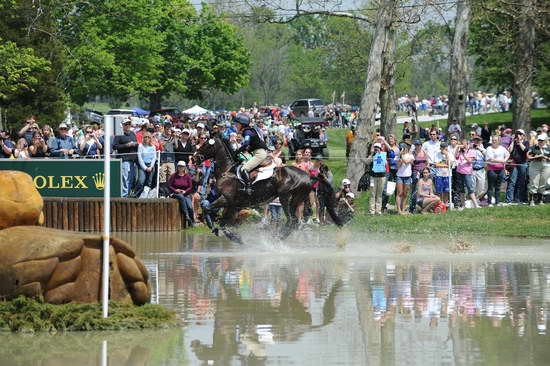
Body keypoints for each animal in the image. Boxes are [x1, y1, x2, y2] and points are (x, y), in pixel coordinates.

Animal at [193, 137, 340, 243]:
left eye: (206, 145)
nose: (194, 158)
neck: (227, 171)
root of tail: (309, 175)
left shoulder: (227, 200)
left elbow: (210, 211)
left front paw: (222, 232)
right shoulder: (234, 206)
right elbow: (220, 220)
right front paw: (225, 233)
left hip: (285, 197)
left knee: (291, 220)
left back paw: (276, 238)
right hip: (297, 199)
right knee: (294, 221)